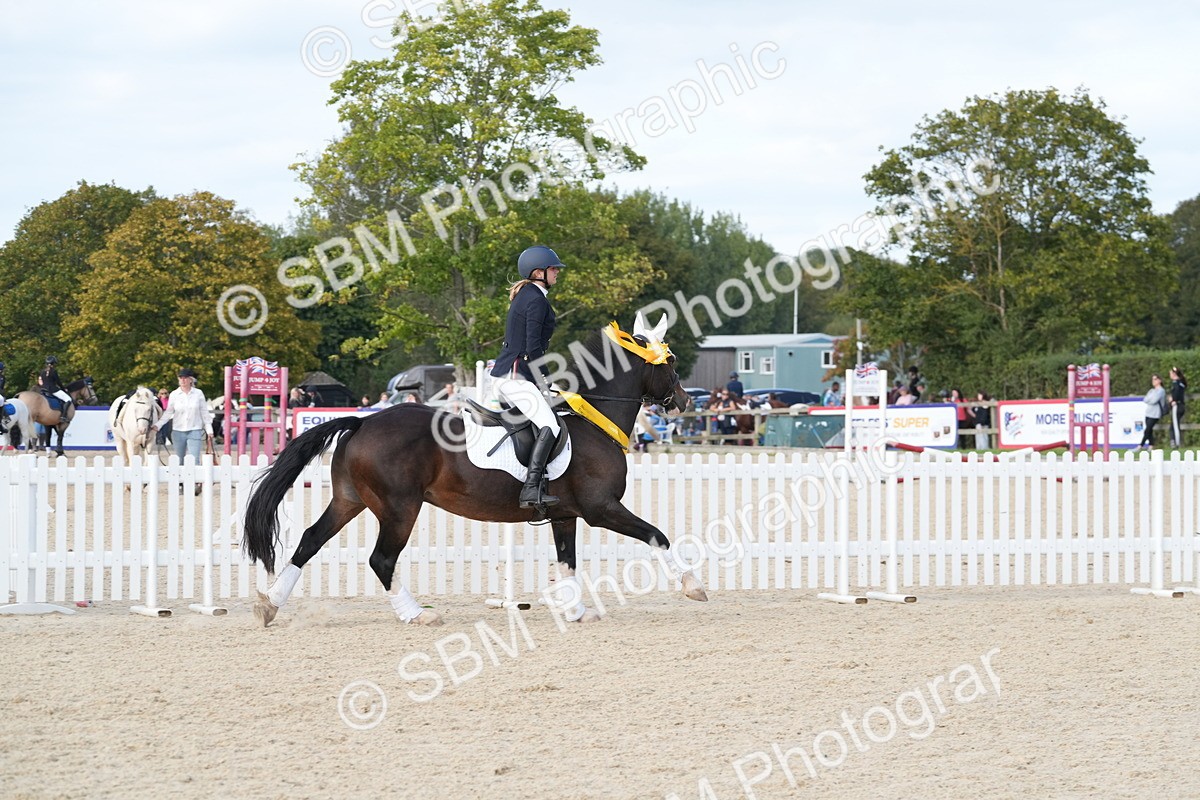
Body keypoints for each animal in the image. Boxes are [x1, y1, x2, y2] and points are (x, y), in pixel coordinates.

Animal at [243, 315, 708, 627]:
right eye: (669, 361)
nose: (684, 402)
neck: (594, 422)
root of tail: (362, 422)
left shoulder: (565, 515)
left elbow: (568, 564)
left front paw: (575, 611)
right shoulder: (601, 508)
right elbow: (658, 536)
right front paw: (692, 586)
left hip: (349, 500)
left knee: (309, 541)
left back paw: (270, 604)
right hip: (399, 508)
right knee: (381, 559)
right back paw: (417, 615)